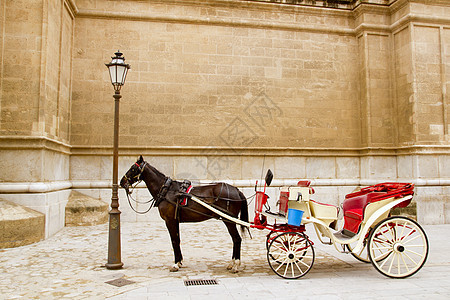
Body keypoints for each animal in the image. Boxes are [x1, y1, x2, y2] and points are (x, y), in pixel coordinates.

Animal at [119, 156, 250, 274]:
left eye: (132, 169)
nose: (121, 182)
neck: (167, 190)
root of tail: (236, 189)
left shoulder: (170, 220)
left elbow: (174, 241)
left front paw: (176, 264)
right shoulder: (175, 220)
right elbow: (177, 239)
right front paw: (179, 261)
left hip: (229, 220)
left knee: (236, 239)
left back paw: (236, 265)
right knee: (235, 239)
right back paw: (232, 263)